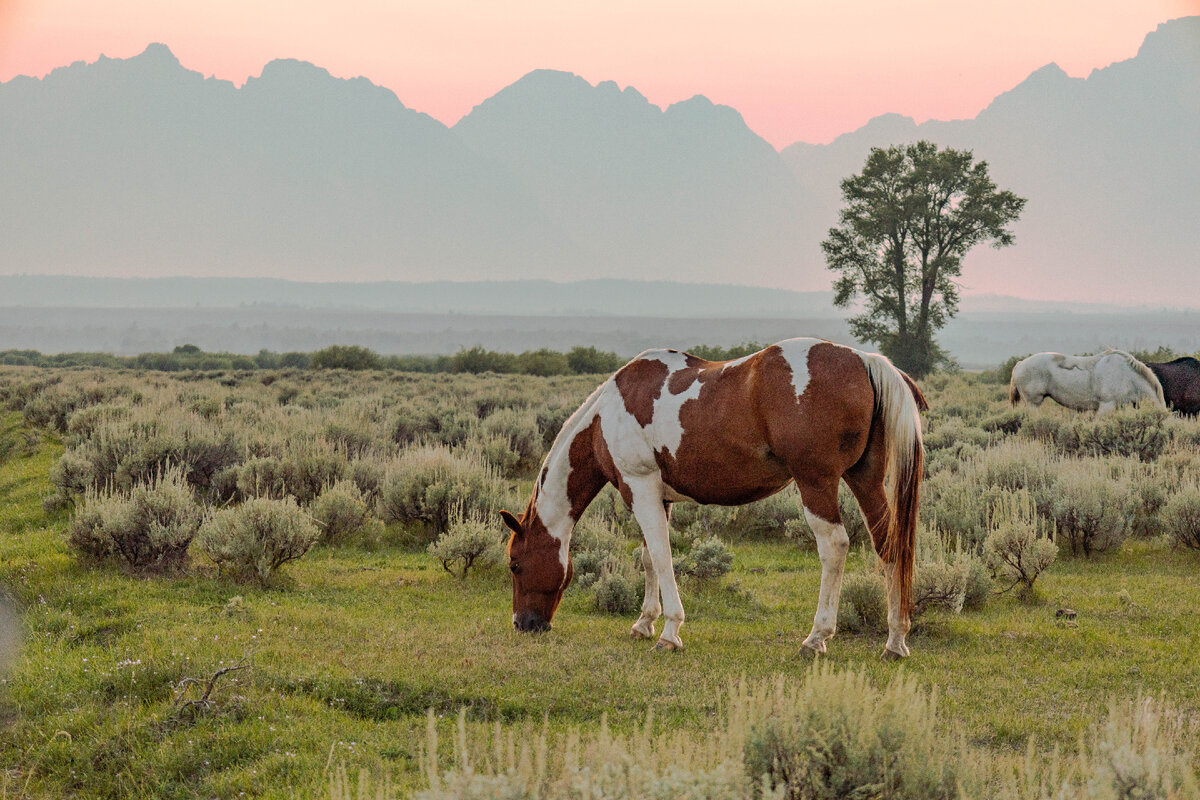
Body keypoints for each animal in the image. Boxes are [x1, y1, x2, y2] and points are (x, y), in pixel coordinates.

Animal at [496, 335, 926, 657]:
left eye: (515, 565)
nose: (523, 625)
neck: (608, 414)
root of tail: (864, 361)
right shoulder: (658, 497)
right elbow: (648, 557)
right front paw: (644, 622)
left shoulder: (640, 487)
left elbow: (663, 557)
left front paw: (669, 633)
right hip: (865, 479)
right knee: (889, 546)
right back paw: (895, 640)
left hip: (816, 482)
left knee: (834, 546)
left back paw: (816, 638)